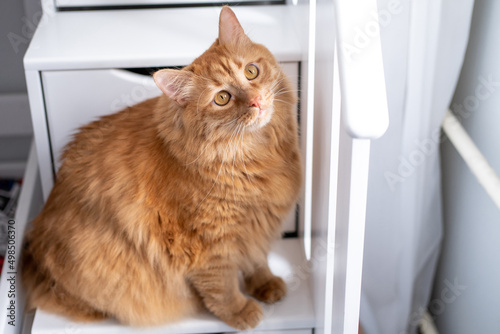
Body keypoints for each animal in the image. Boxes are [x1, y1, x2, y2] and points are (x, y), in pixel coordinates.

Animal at [21, 6, 302, 330]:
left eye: (251, 71)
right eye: (222, 98)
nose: (256, 101)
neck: (255, 157)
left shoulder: (257, 225)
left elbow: (257, 260)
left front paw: (265, 284)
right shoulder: (208, 244)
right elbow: (222, 286)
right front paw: (240, 311)